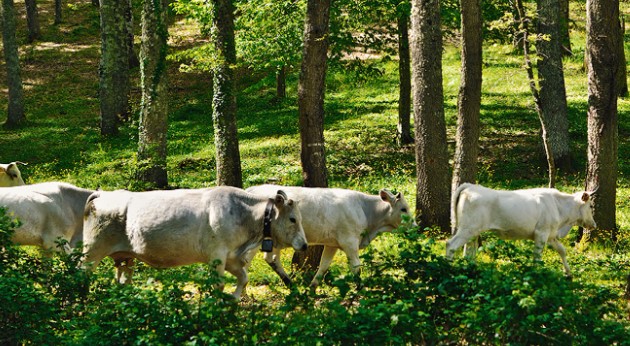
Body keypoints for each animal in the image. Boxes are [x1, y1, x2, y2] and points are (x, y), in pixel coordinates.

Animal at [81, 187, 308, 300]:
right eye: (293, 219)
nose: (305, 245)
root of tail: (102, 193)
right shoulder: (217, 255)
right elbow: (219, 284)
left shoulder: (232, 257)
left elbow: (244, 278)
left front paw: (233, 300)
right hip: (92, 251)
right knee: (81, 275)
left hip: (125, 257)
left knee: (122, 282)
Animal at [243, 185, 414, 288]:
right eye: (404, 209)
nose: (415, 226)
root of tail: (252, 189)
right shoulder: (350, 242)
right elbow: (356, 267)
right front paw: (360, 289)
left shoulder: (332, 244)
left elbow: (324, 265)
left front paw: (312, 288)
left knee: (270, 259)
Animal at [446, 182, 600, 278]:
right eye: (590, 206)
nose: (594, 224)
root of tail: (470, 186)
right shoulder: (541, 233)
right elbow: (537, 256)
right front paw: (537, 273)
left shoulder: (551, 235)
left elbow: (562, 250)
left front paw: (568, 273)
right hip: (467, 228)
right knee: (451, 245)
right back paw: (447, 268)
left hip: (472, 231)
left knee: (469, 251)